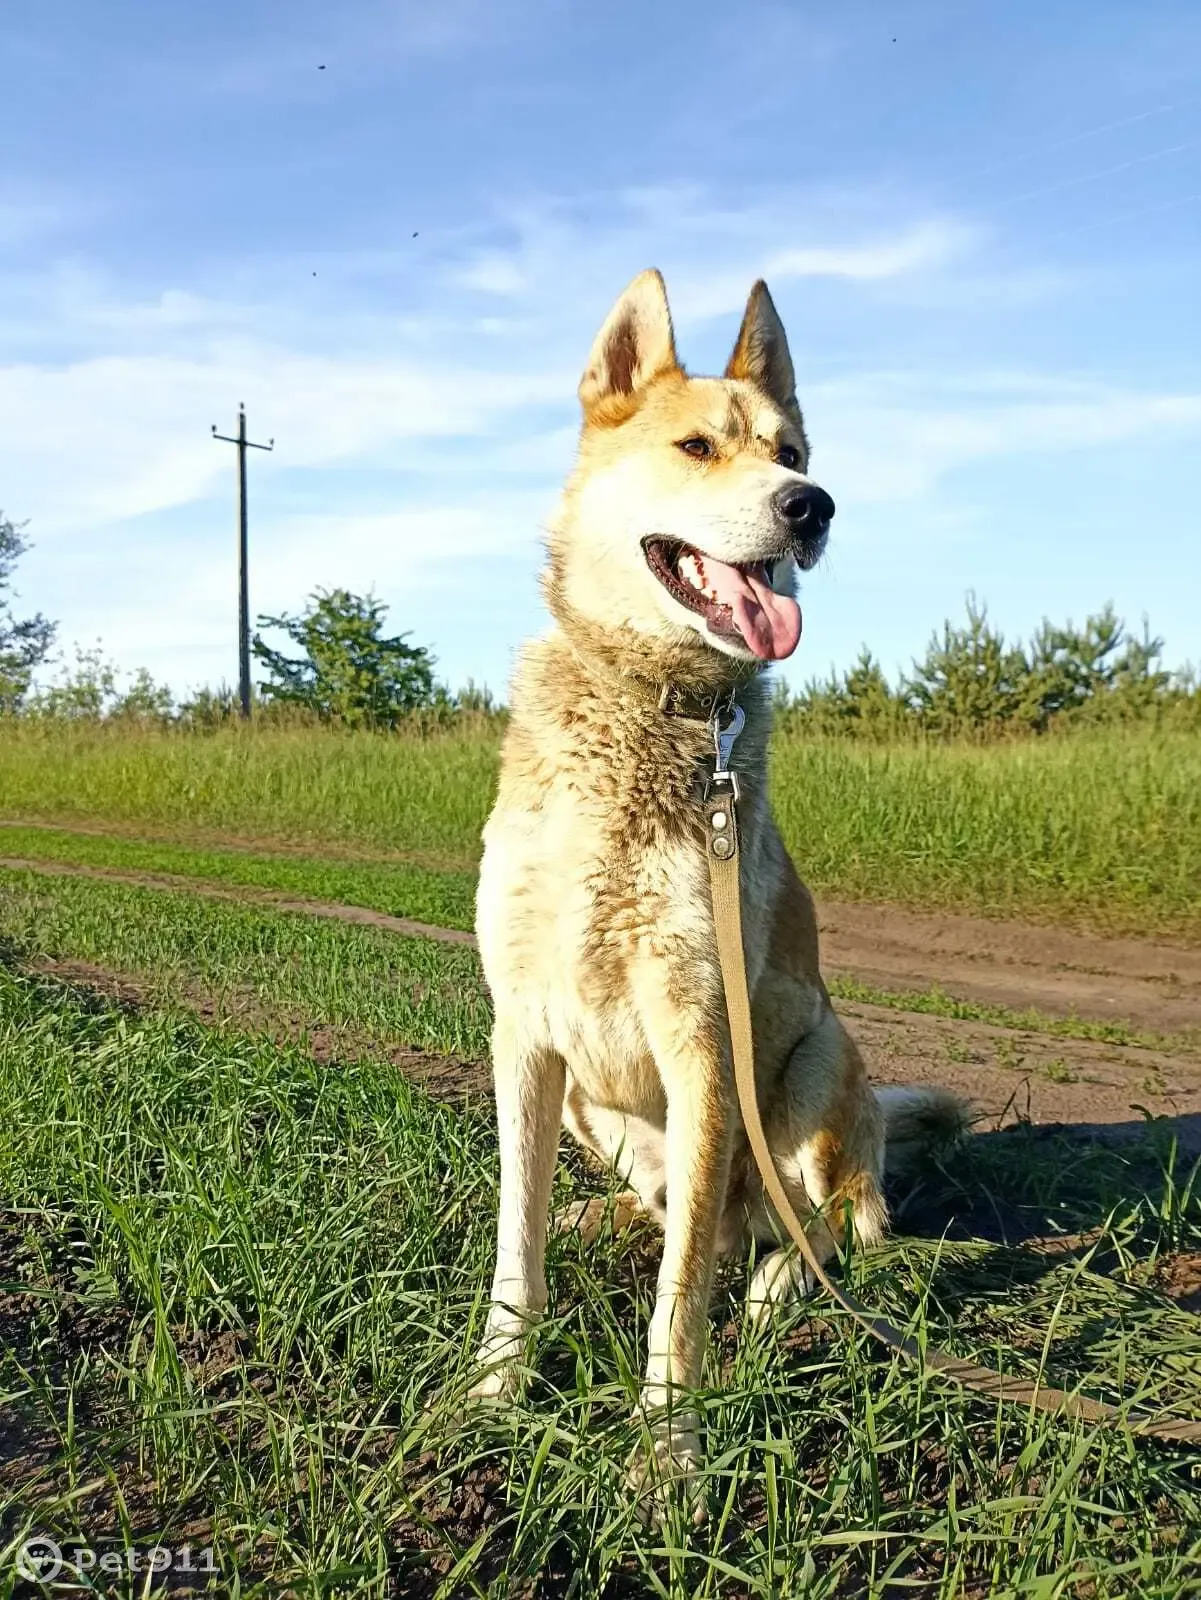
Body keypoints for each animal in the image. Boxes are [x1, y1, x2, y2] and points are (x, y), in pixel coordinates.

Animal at [470, 268, 965, 1504]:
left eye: (791, 451)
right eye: (696, 447)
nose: (811, 507)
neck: (655, 707)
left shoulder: (703, 1042)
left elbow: (680, 1288)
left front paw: (666, 1446)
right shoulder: (523, 1036)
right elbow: (515, 1242)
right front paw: (494, 1388)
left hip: (814, 1064)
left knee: (826, 1223)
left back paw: (784, 1280)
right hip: (597, 1109)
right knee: (676, 1211)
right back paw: (602, 1216)